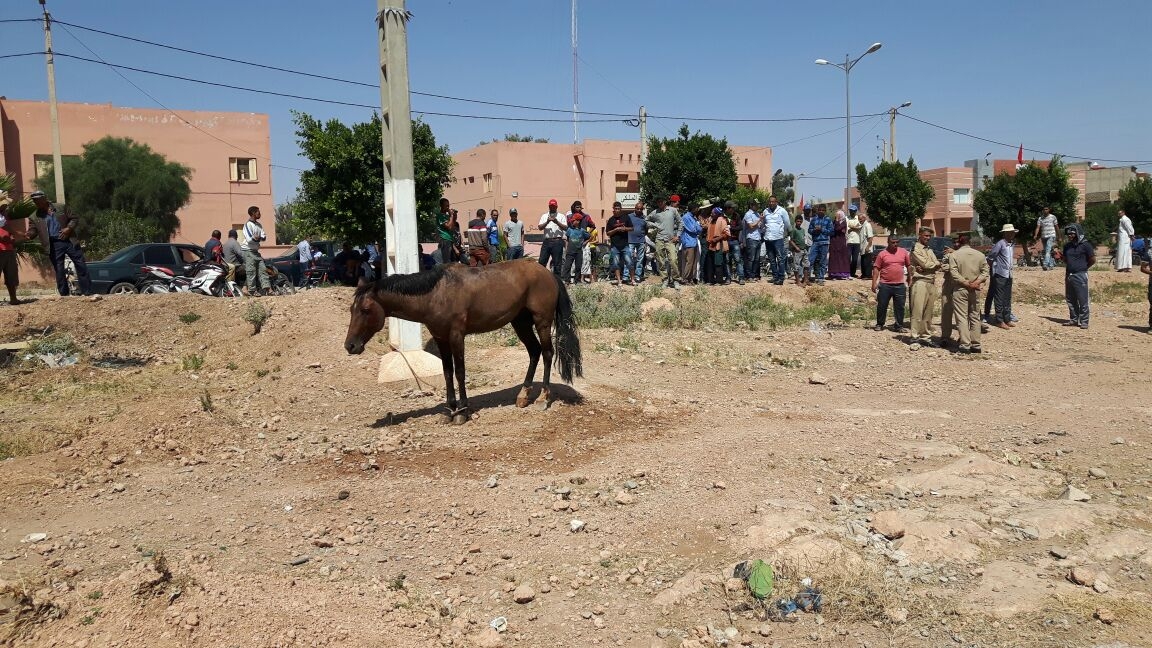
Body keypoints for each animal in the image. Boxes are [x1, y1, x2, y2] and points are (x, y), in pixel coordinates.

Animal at [338, 254, 576, 422]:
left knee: (547, 353)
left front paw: (462, 411)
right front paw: (449, 409)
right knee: (534, 352)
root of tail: (548, 273)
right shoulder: (441, 338)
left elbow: (460, 372)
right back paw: (523, 395)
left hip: (542, 321)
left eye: (366, 310)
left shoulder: (456, 336)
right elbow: (447, 372)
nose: (350, 345)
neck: (436, 293)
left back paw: (543, 398)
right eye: (351, 309)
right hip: (520, 322)